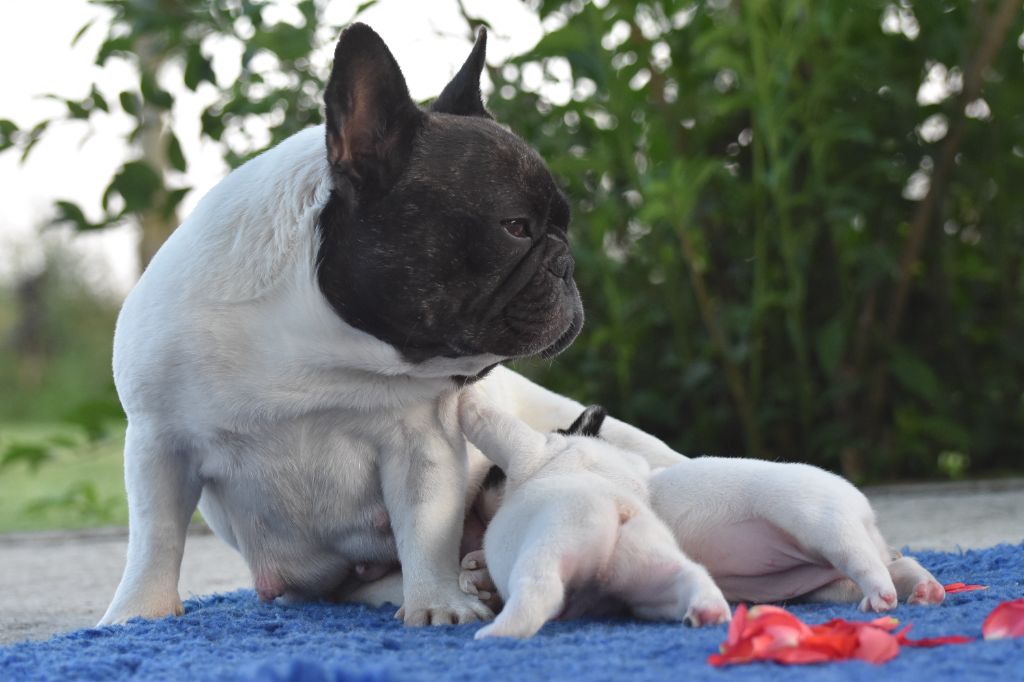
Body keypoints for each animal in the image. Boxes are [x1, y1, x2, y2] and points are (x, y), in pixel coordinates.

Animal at [101, 22, 688, 626]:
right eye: (516, 228)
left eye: (560, 227)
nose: (566, 263)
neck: (322, 344)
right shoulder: (159, 441)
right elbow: (155, 538)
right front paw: (137, 613)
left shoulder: (422, 442)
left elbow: (425, 528)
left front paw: (437, 604)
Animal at [456, 387, 729, 638]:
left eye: (493, 473)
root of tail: (617, 511)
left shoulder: (529, 451)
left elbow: (490, 422)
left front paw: (468, 397)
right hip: (646, 560)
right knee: (688, 575)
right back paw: (708, 609)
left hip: (546, 551)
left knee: (537, 595)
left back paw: (494, 633)